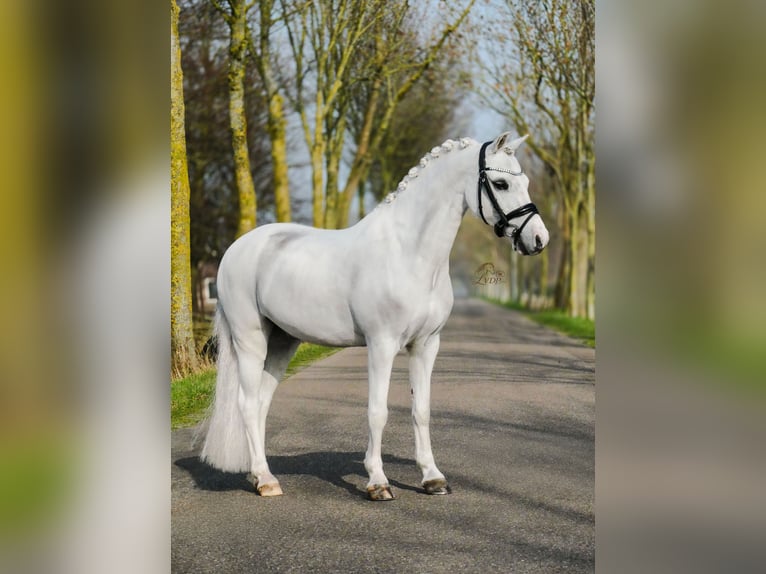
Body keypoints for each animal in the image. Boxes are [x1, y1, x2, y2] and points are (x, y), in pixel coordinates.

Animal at [200, 132, 549, 500]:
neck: (408, 253)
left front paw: (432, 478)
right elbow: (378, 412)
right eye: (500, 183)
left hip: (283, 342)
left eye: (525, 181)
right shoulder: (381, 345)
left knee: (262, 403)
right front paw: (378, 482)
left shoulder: (426, 345)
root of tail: (236, 248)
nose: (539, 239)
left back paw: (260, 474)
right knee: (247, 403)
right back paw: (266, 482)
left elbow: (421, 410)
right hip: (249, 340)